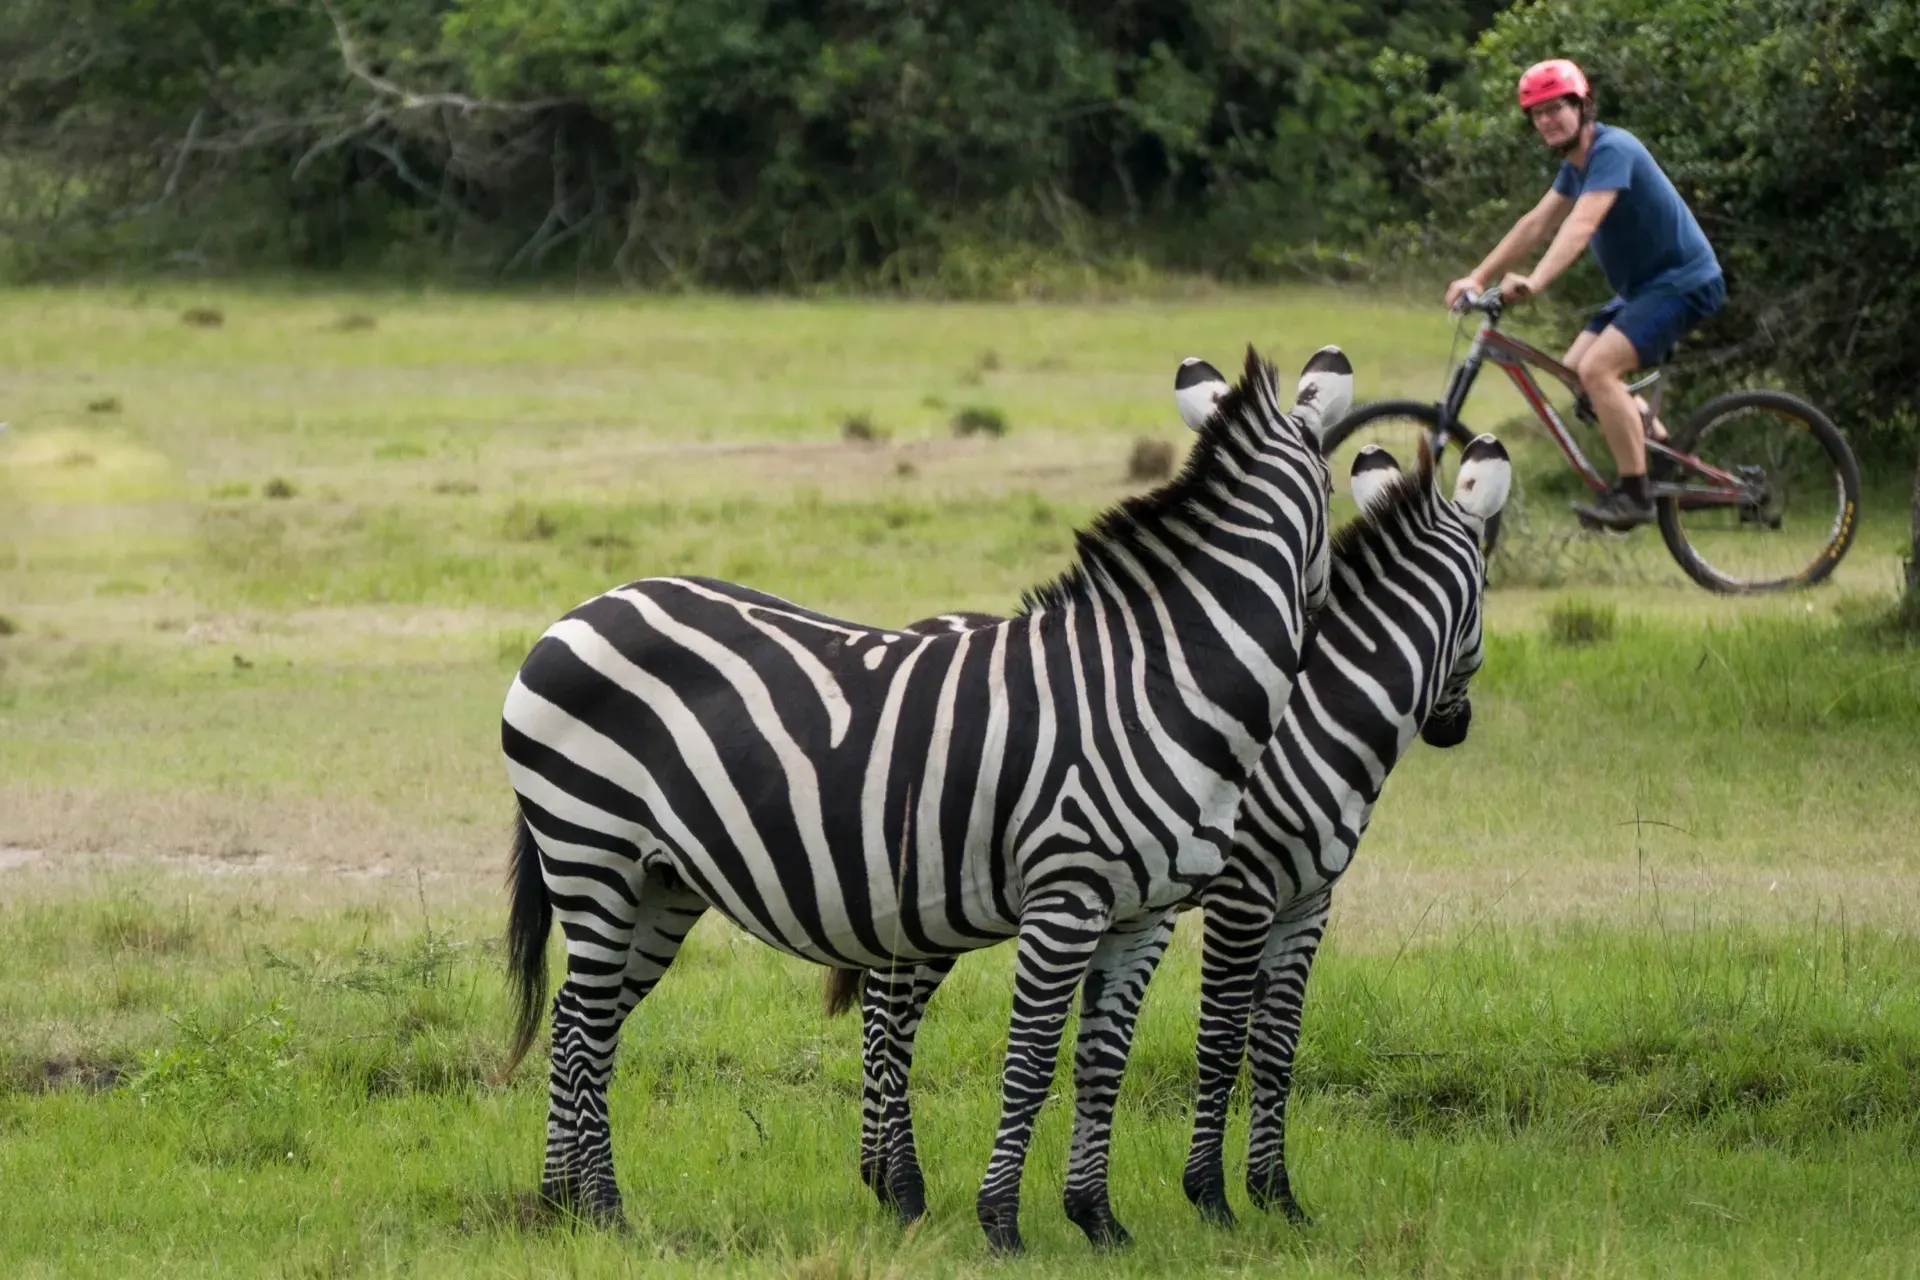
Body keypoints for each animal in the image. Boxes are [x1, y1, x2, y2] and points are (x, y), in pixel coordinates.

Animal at [498, 343, 1349, 1253]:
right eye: (1335, 494)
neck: (1161, 681)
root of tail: (575, 616)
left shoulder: (1144, 912)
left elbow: (1102, 1062)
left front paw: (1098, 1220)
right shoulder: (1066, 894)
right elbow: (1032, 1058)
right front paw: (1003, 1222)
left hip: (660, 882)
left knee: (582, 1020)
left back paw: (563, 1202)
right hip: (591, 850)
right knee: (583, 1025)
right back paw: (600, 1207)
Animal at [829, 426, 1512, 1238]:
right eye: (1487, 596)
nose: (1454, 729)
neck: (1327, 706)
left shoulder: (1306, 901)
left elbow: (1277, 1046)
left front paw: (1278, 1196)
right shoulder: (1245, 893)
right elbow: (1221, 1042)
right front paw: (1212, 1198)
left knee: (886, 1004)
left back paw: (882, 1177)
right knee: (889, 1013)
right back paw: (897, 1185)